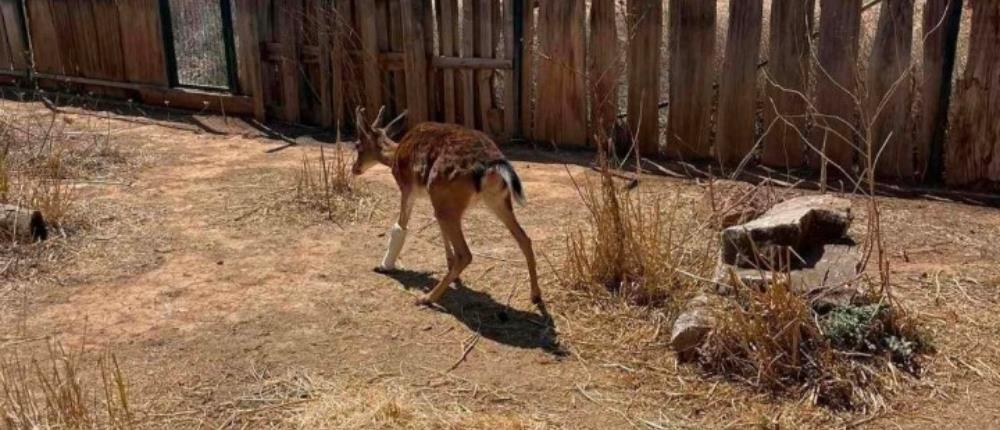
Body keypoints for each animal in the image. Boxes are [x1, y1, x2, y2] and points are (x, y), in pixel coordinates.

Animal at [350, 106, 540, 308]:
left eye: (357, 144)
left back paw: (427, 298)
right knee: (524, 239)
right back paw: (536, 295)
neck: (394, 154)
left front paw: (384, 266)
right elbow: (441, 231)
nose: (354, 168)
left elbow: (401, 225)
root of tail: (492, 165)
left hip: (448, 197)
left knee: (465, 254)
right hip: (496, 200)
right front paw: (451, 269)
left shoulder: (407, 187)